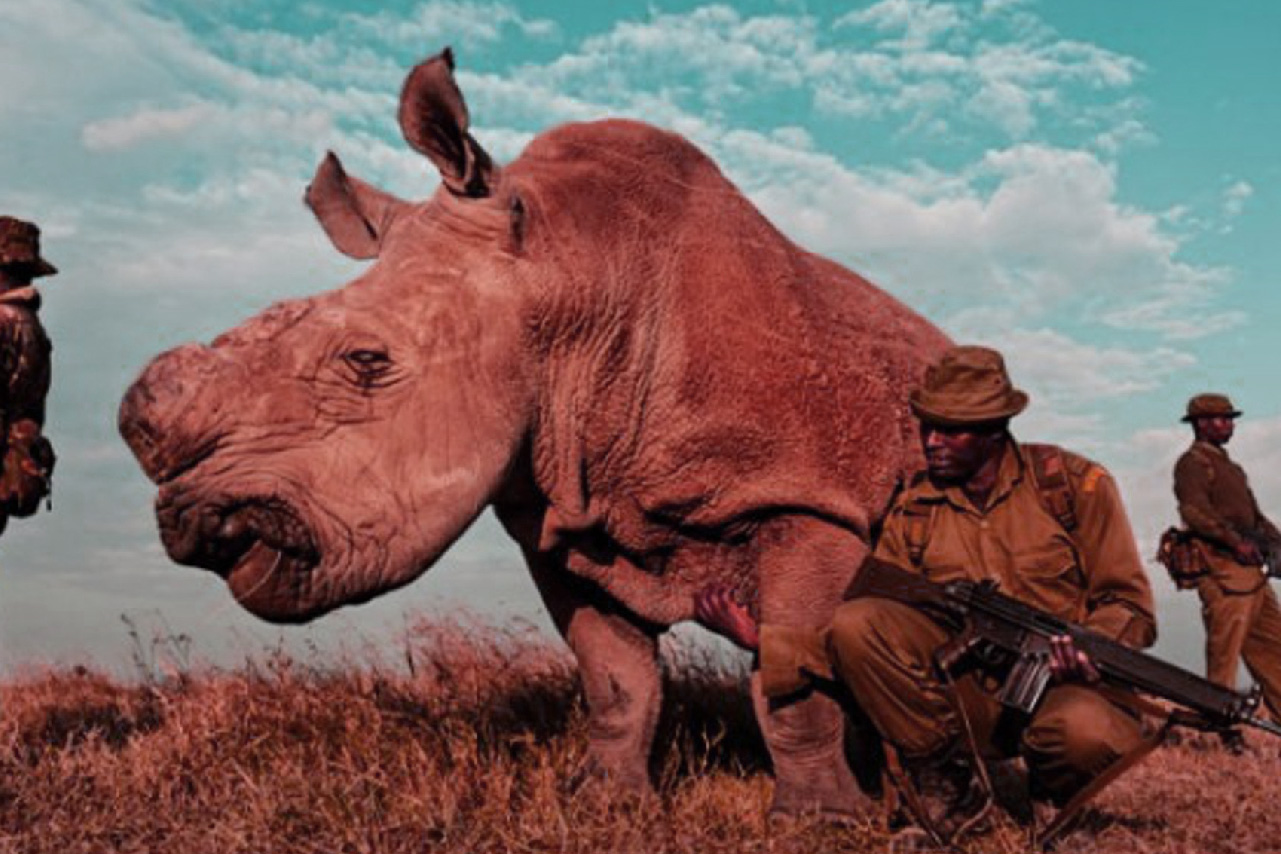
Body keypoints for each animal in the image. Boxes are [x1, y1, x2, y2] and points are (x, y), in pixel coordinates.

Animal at [118, 49, 950, 817]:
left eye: (365, 361)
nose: (194, 524)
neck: (573, 281)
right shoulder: (561, 518)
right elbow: (615, 678)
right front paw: (609, 805)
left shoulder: (809, 500)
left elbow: (791, 684)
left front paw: (822, 819)